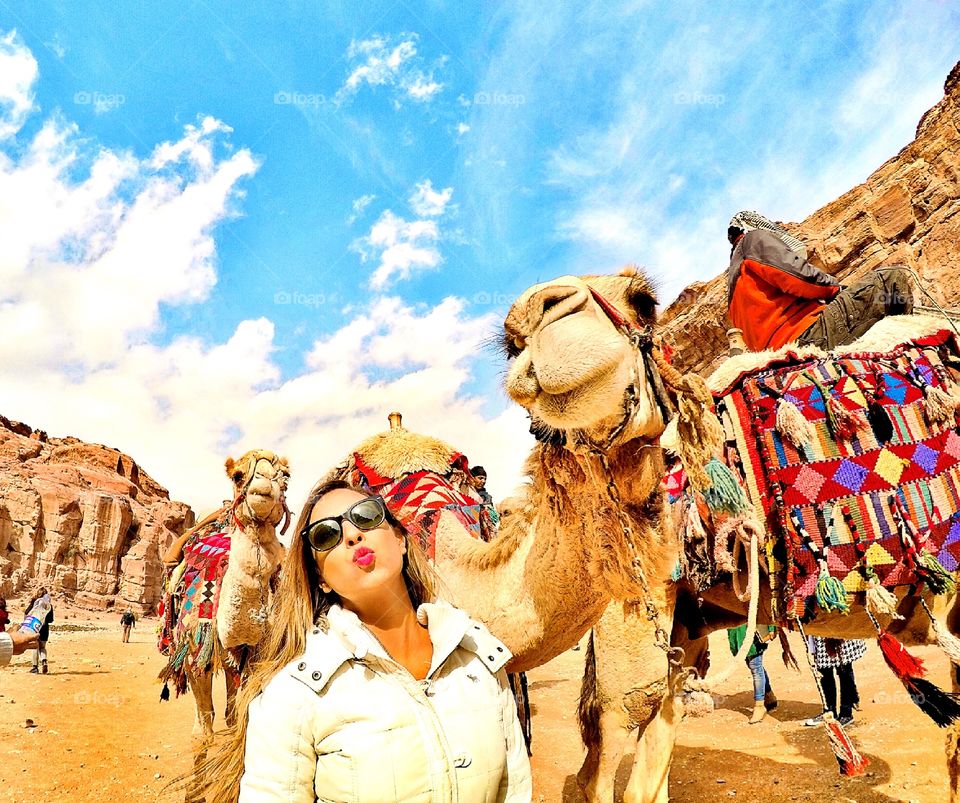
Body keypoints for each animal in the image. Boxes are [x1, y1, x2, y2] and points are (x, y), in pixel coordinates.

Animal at [158, 450, 288, 744]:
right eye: (239, 476)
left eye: (285, 478)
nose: (264, 486)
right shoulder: (195, 650)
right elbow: (204, 727)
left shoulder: (257, 653)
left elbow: (241, 711)